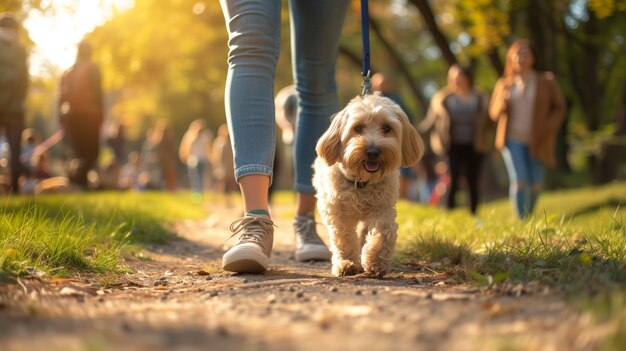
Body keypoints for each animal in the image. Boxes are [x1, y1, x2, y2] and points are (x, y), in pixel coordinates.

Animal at [314, 93, 422, 278]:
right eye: (357, 128)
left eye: (386, 128)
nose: (372, 151)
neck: (362, 182)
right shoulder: (337, 212)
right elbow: (343, 238)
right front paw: (347, 263)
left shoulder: (383, 208)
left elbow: (383, 232)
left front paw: (375, 261)